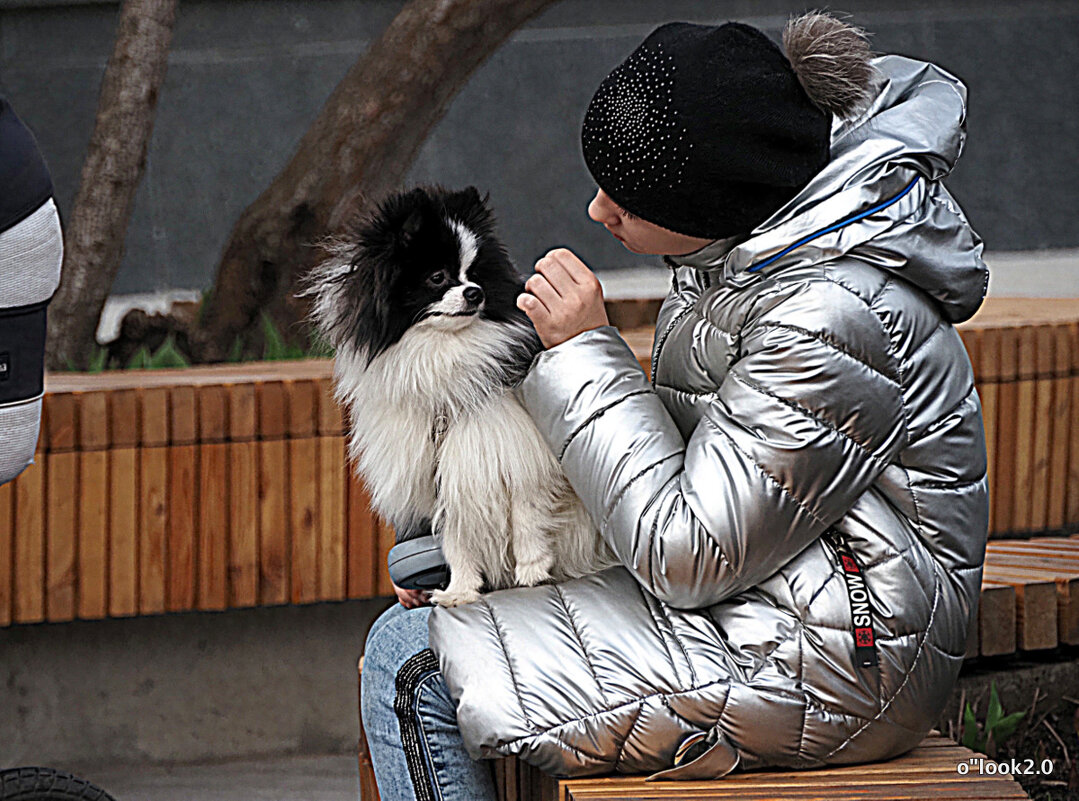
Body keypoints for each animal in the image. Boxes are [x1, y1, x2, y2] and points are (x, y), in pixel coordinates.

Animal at [302, 184, 617, 604]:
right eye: (437, 277)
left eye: (476, 275)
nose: (474, 292)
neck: (444, 349)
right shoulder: (443, 472)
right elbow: (456, 538)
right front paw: (461, 590)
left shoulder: (518, 447)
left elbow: (528, 510)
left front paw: (532, 569)